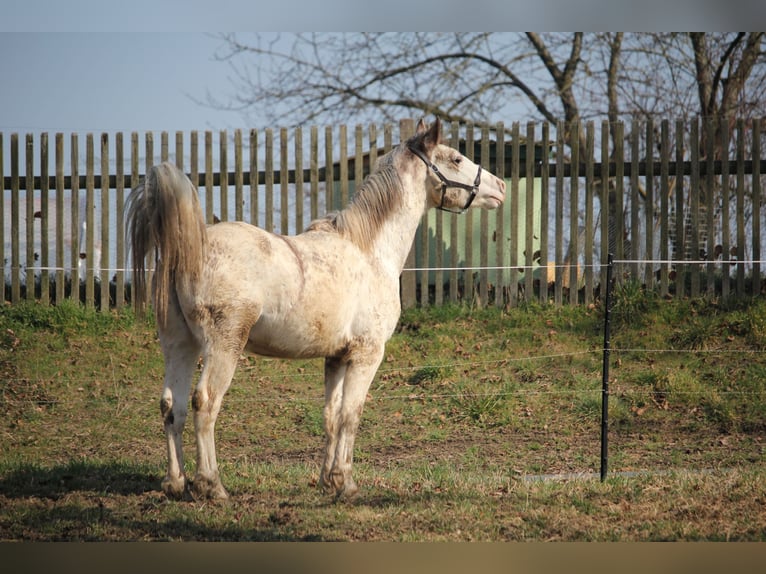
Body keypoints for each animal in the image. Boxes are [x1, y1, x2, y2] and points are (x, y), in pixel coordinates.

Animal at [128, 119, 508, 502]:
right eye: (456, 158)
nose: (501, 187)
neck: (369, 251)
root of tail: (191, 247)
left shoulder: (337, 356)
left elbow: (331, 415)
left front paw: (328, 481)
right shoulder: (367, 354)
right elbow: (351, 415)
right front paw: (347, 483)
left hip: (180, 344)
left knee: (171, 406)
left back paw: (175, 483)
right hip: (223, 346)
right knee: (205, 403)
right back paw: (212, 485)